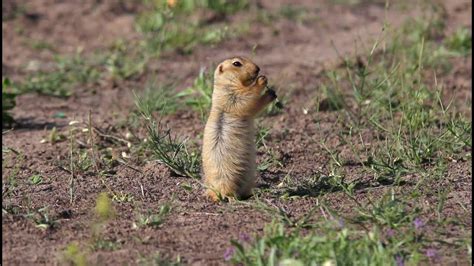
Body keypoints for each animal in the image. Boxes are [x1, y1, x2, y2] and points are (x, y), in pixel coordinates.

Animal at [201, 56, 276, 202]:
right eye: (236, 63)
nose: (258, 68)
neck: (227, 84)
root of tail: (216, 192)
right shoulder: (232, 96)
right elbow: (248, 100)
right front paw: (262, 81)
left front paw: (272, 91)